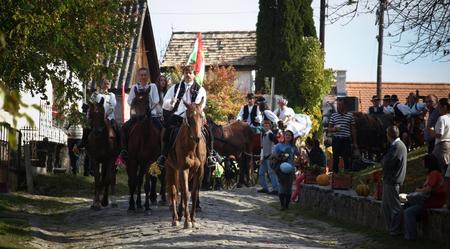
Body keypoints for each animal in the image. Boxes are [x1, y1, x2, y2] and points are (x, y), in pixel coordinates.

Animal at [166, 98, 207, 228]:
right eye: (189, 117)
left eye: (201, 116)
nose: (197, 138)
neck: (192, 148)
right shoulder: (183, 169)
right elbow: (185, 194)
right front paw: (187, 221)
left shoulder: (200, 171)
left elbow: (193, 194)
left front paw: (193, 219)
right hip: (170, 168)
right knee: (174, 192)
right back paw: (175, 218)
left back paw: (180, 214)